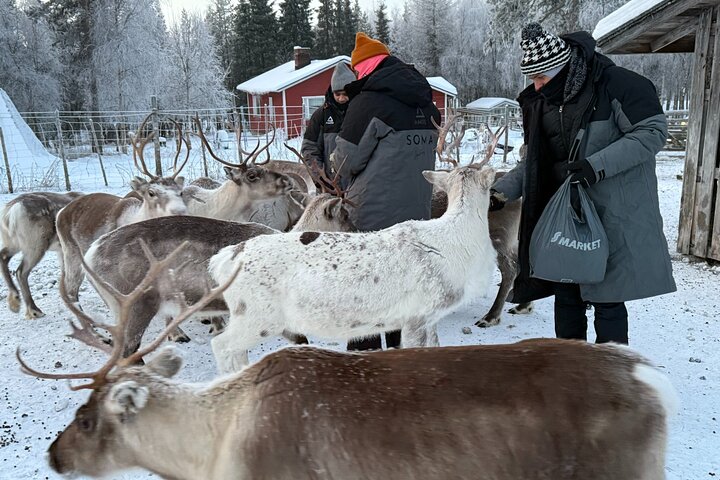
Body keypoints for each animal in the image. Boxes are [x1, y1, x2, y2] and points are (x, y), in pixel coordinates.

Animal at [56, 116, 189, 304]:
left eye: (181, 192)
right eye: (151, 192)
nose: (180, 210)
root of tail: (61, 213)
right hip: (70, 251)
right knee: (71, 289)